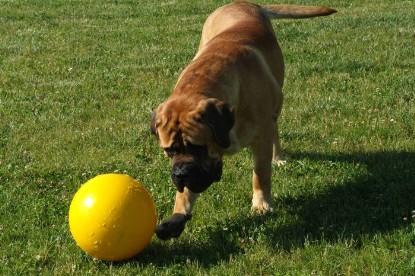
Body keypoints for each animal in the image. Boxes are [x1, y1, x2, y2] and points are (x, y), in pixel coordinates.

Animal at [151, 1, 336, 239]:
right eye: (170, 151)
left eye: (199, 148)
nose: (181, 174)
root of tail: (245, 3)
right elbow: (185, 196)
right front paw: (176, 216)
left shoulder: (261, 138)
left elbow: (260, 173)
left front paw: (261, 204)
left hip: (276, 103)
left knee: (275, 129)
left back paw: (278, 157)